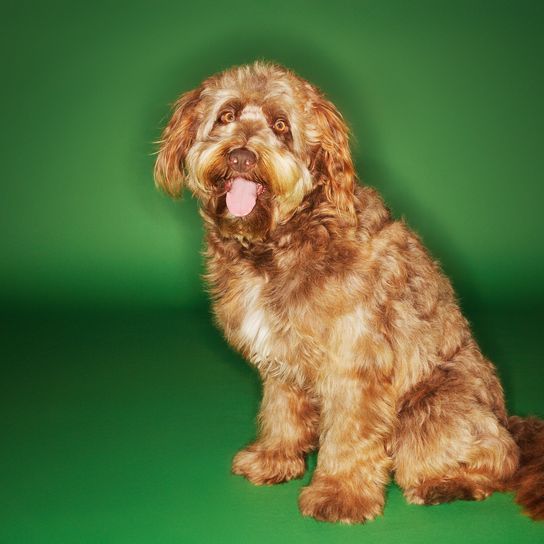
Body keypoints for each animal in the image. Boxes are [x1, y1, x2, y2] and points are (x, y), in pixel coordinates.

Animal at [154, 60, 544, 524]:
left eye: (281, 125)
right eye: (226, 116)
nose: (242, 155)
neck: (281, 242)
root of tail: (509, 421)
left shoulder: (354, 360)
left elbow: (350, 433)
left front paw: (340, 493)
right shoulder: (279, 357)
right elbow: (281, 411)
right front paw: (275, 459)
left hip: (431, 408)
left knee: (495, 458)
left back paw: (447, 483)